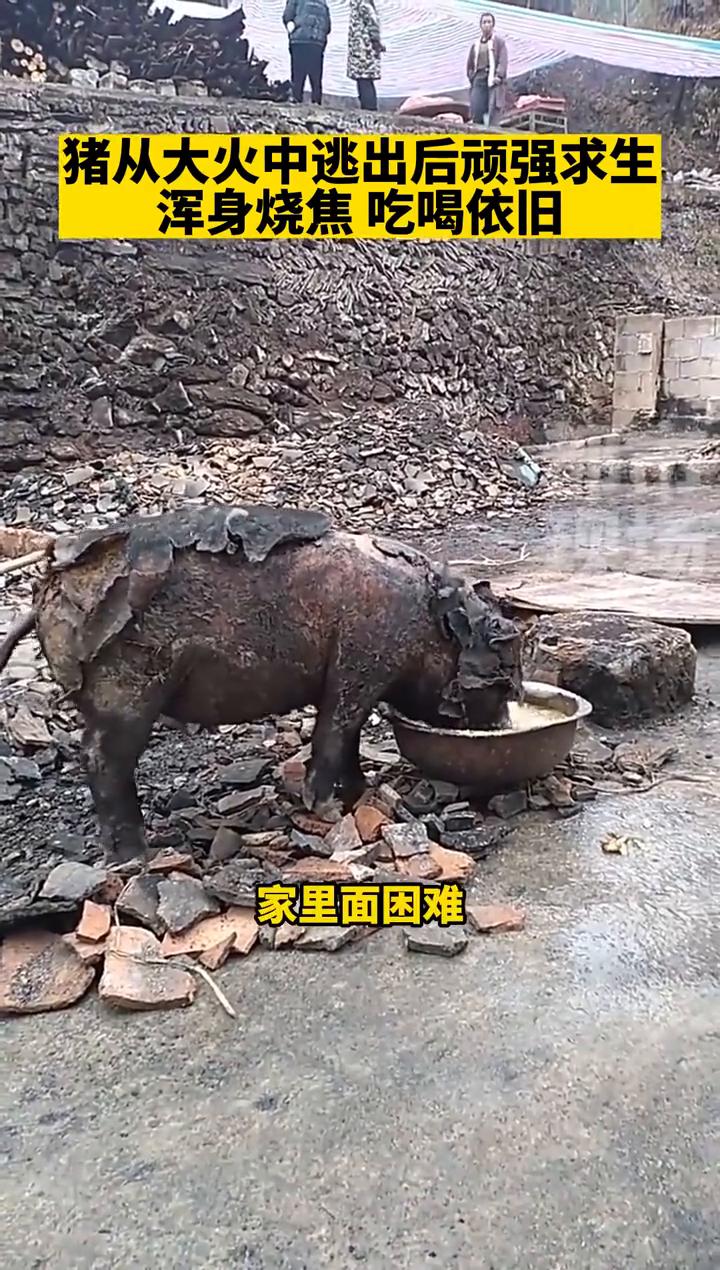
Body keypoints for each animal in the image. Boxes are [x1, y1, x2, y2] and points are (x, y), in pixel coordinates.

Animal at [0, 504, 522, 864]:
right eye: (500, 682)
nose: (503, 728)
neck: (426, 623)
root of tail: (43, 589)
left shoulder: (355, 677)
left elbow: (349, 736)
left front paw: (360, 792)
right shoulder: (361, 665)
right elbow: (334, 731)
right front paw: (327, 812)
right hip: (125, 692)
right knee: (101, 758)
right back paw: (136, 857)